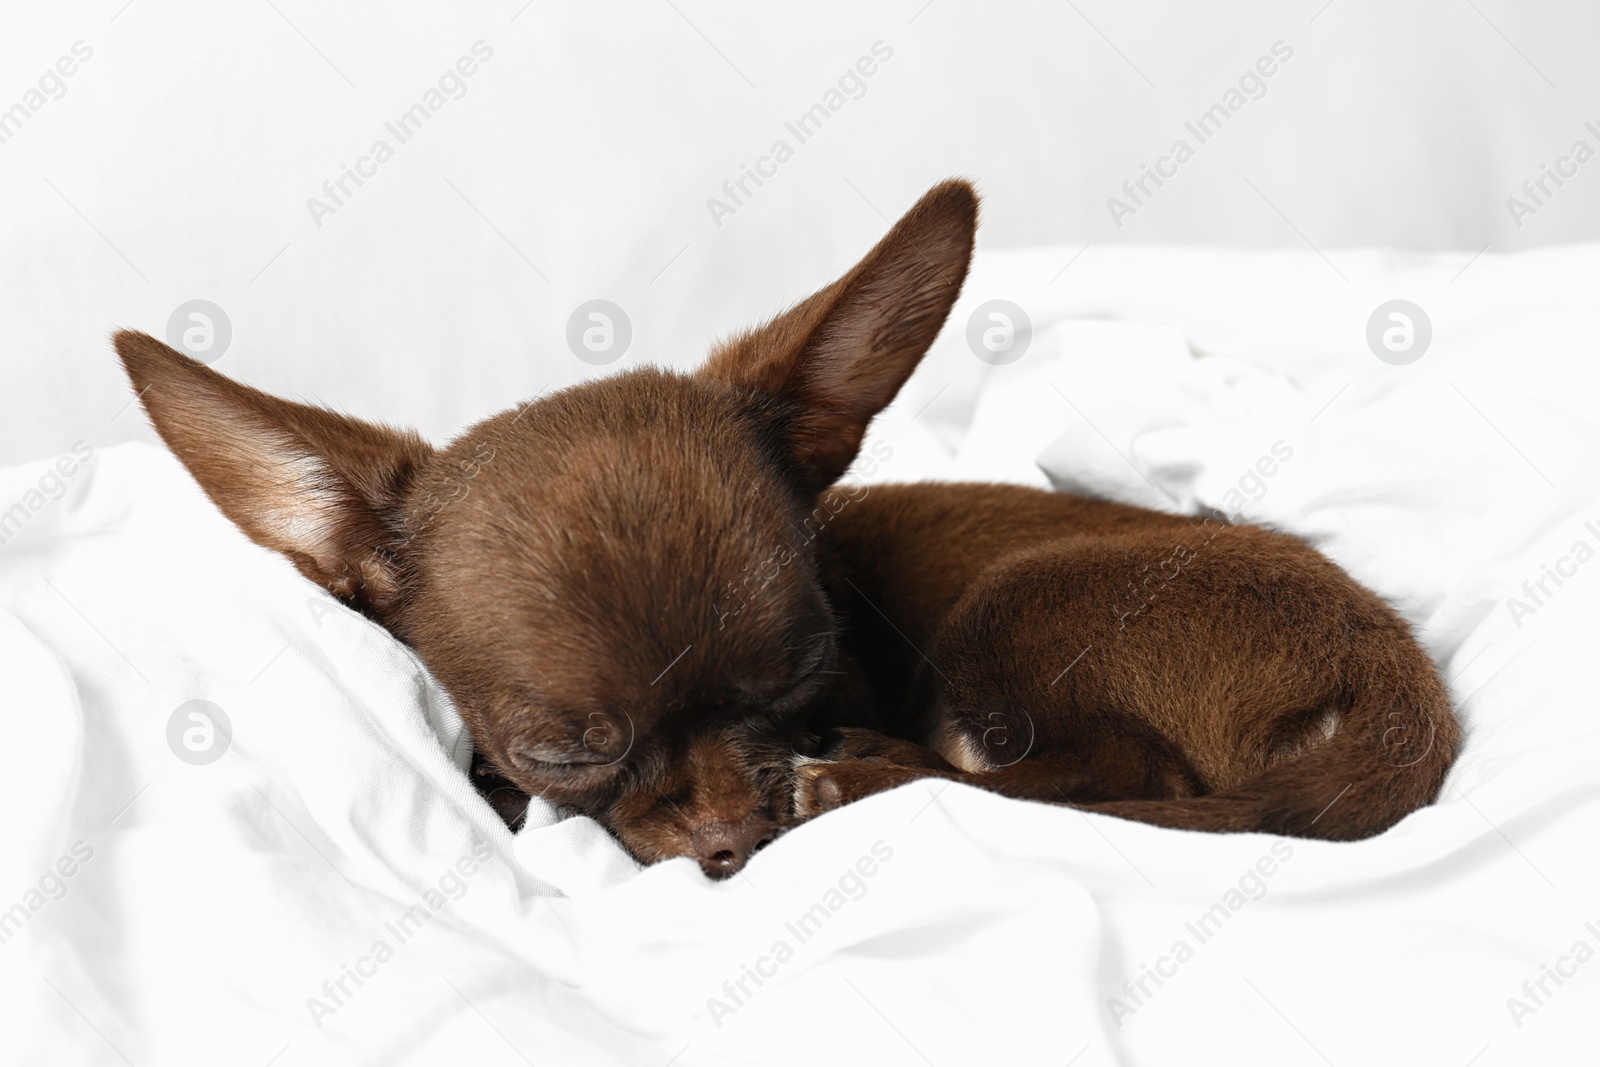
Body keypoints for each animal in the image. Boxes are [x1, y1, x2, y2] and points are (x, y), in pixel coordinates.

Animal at [118, 181, 1459, 876]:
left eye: (808, 672)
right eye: (560, 749)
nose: (727, 832)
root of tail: (1397, 689)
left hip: (1013, 606)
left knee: (1100, 778)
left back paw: (857, 778)